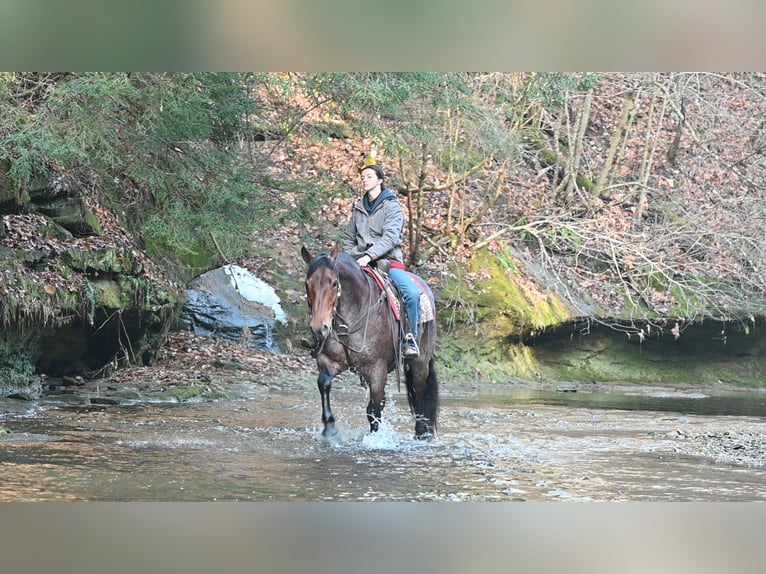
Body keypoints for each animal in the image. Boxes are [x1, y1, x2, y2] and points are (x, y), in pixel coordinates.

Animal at [301, 243, 440, 440]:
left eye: (334, 283)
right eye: (307, 284)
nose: (319, 328)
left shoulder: (377, 369)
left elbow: (373, 410)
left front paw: (375, 440)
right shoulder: (328, 361)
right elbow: (324, 383)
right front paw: (329, 428)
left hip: (420, 363)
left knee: (419, 392)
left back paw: (422, 433)